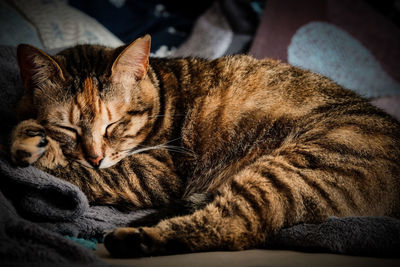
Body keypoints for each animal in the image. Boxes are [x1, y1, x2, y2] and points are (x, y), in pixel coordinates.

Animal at [9, 35, 400, 258]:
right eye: (68, 127)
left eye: (115, 124)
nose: (96, 155)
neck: (160, 93)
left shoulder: (155, 172)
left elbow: (78, 169)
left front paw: (31, 146)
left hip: (295, 168)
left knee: (236, 226)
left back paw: (134, 240)